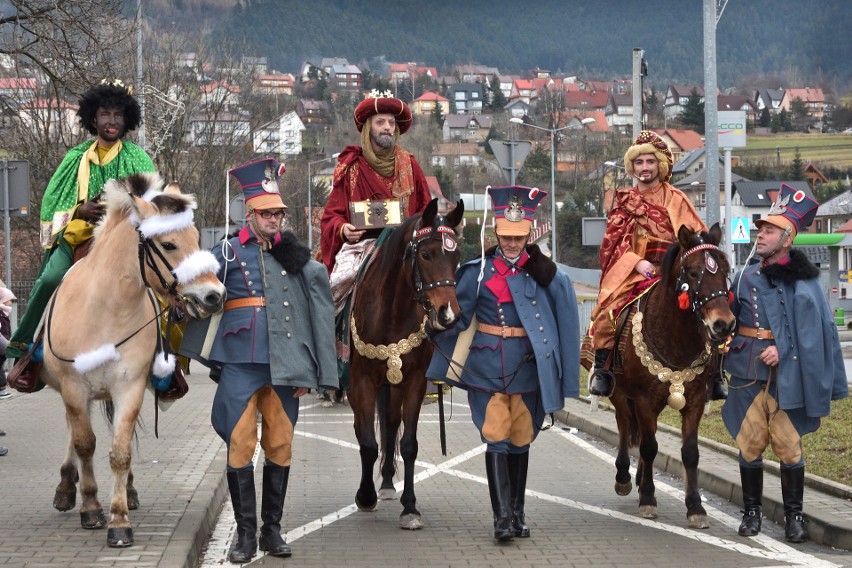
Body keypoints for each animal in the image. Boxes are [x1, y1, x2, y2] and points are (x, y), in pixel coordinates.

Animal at [39, 173, 226, 544]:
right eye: (168, 245)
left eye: (197, 238)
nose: (215, 295)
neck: (105, 311)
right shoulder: (74, 387)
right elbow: (85, 444)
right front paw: (91, 507)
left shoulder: (129, 387)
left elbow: (120, 452)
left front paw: (119, 519)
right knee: (72, 432)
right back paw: (67, 488)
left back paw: (128, 490)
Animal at [348, 199, 462, 528]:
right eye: (426, 254)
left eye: (456, 257)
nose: (448, 314)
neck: (392, 311)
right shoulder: (361, 382)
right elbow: (368, 443)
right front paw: (366, 496)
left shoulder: (413, 381)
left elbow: (408, 444)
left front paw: (409, 507)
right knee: (363, 429)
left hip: (393, 385)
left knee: (390, 423)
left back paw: (387, 483)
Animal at [608, 222, 736, 528]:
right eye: (693, 271)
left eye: (726, 271)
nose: (723, 324)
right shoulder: (643, 400)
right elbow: (649, 447)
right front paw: (648, 499)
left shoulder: (695, 401)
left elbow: (690, 453)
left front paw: (696, 507)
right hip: (620, 394)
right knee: (625, 428)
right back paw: (624, 477)